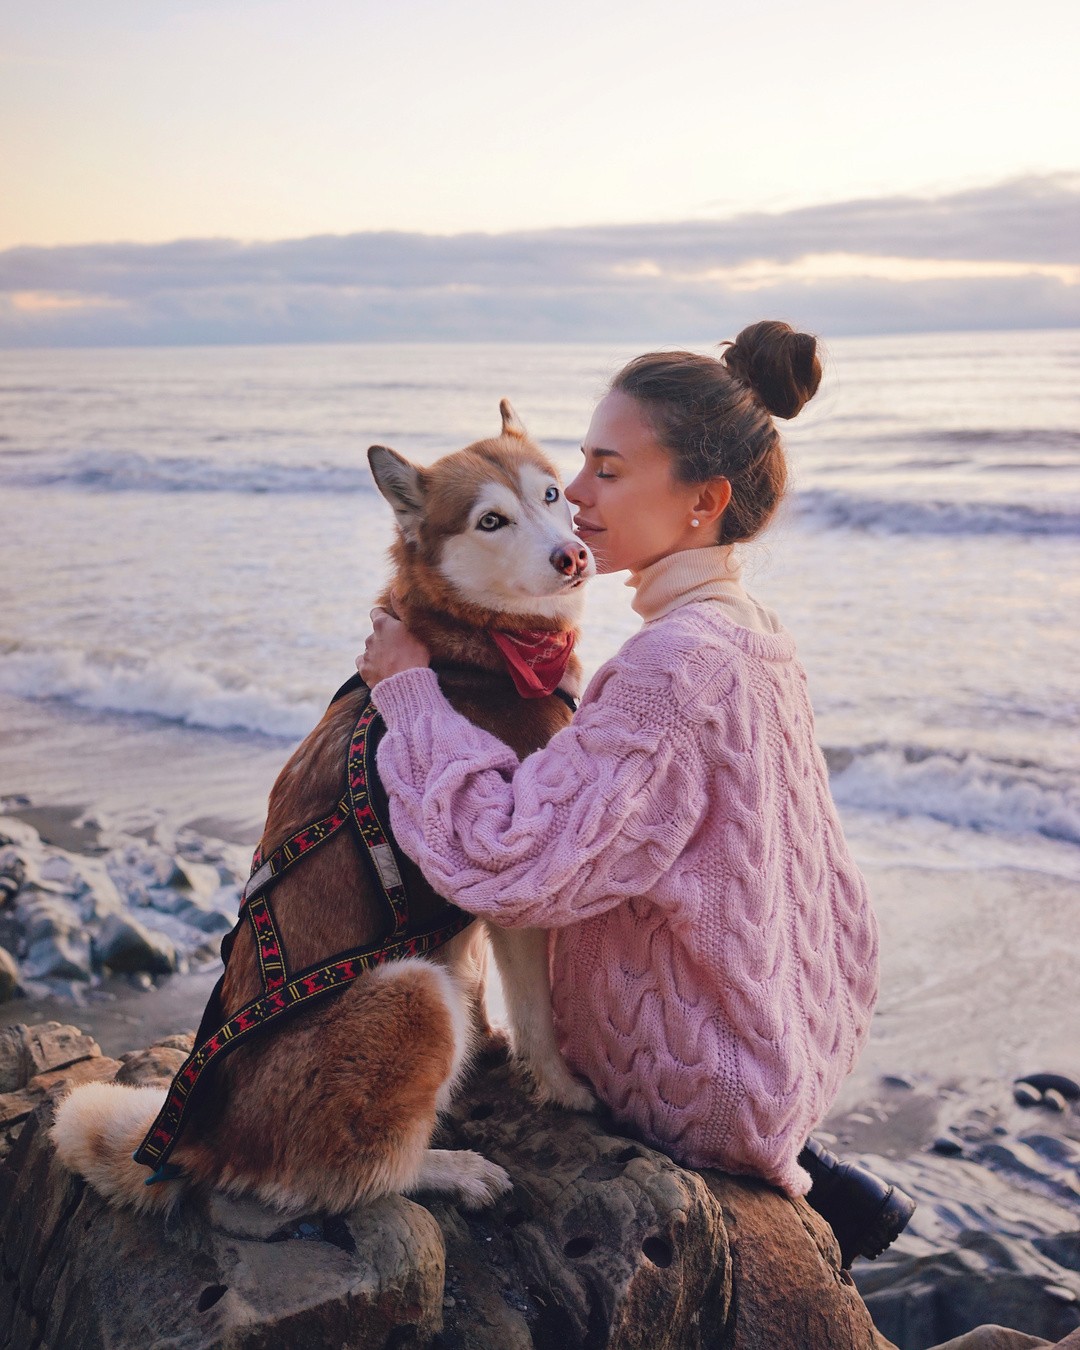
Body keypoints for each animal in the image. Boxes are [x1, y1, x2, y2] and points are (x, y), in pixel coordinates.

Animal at [52, 400, 596, 1217]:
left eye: (552, 495)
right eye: (492, 521)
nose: (573, 556)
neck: (471, 648)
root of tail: (208, 1139)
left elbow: (477, 982)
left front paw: (491, 1048)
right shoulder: (509, 876)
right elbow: (537, 1014)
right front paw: (561, 1087)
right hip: (407, 991)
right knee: (349, 1175)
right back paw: (449, 1168)